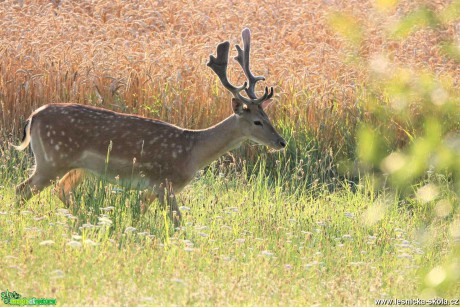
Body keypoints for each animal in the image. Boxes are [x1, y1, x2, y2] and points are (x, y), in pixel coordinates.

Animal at [13, 28, 284, 225]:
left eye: (269, 116)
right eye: (257, 121)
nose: (281, 142)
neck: (193, 153)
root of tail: (34, 116)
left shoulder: (152, 188)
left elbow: (140, 211)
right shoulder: (164, 184)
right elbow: (177, 221)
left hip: (77, 167)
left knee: (60, 190)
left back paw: (83, 218)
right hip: (52, 159)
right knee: (21, 189)